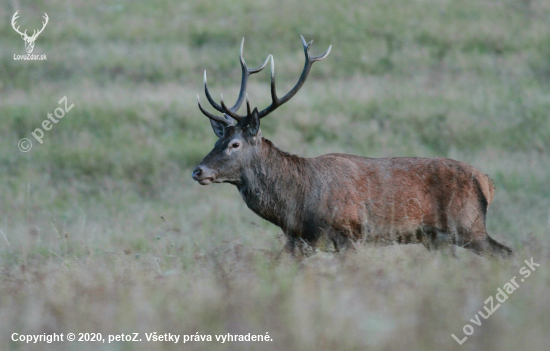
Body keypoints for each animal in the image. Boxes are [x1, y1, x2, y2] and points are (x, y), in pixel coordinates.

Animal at [192, 35, 516, 258]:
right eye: (217, 140)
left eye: (235, 144)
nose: (198, 171)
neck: (295, 203)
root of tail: (487, 182)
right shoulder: (297, 241)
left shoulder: (347, 234)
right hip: (438, 239)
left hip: (468, 225)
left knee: (506, 253)